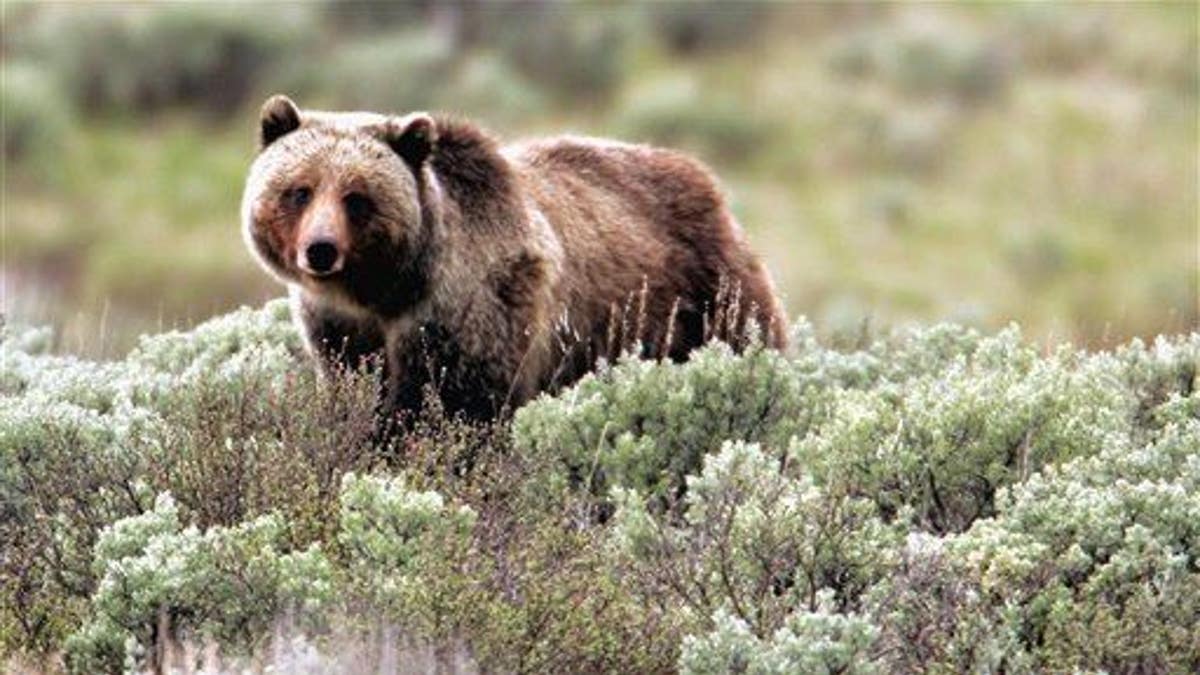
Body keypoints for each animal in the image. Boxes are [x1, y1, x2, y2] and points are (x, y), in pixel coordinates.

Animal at [241, 94, 787, 420]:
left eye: (357, 197)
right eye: (300, 190)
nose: (321, 250)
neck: (386, 289)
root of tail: (707, 180)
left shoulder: (472, 305)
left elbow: (457, 402)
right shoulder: (340, 327)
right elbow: (357, 386)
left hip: (705, 296)